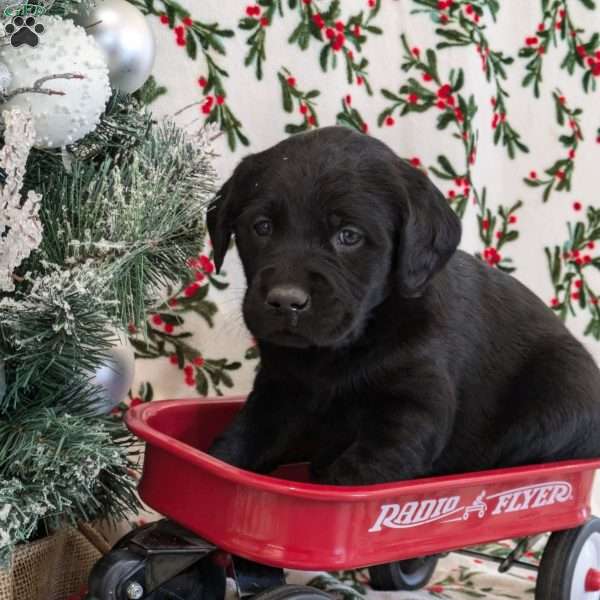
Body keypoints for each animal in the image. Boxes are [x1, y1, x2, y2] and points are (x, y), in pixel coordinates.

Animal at [205, 125, 600, 482]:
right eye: (262, 227)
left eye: (348, 236)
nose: (286, 301)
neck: (340, 351)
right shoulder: (278, 389)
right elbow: (236, 446)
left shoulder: (411, 411)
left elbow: (353, 477)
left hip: (557, 393)